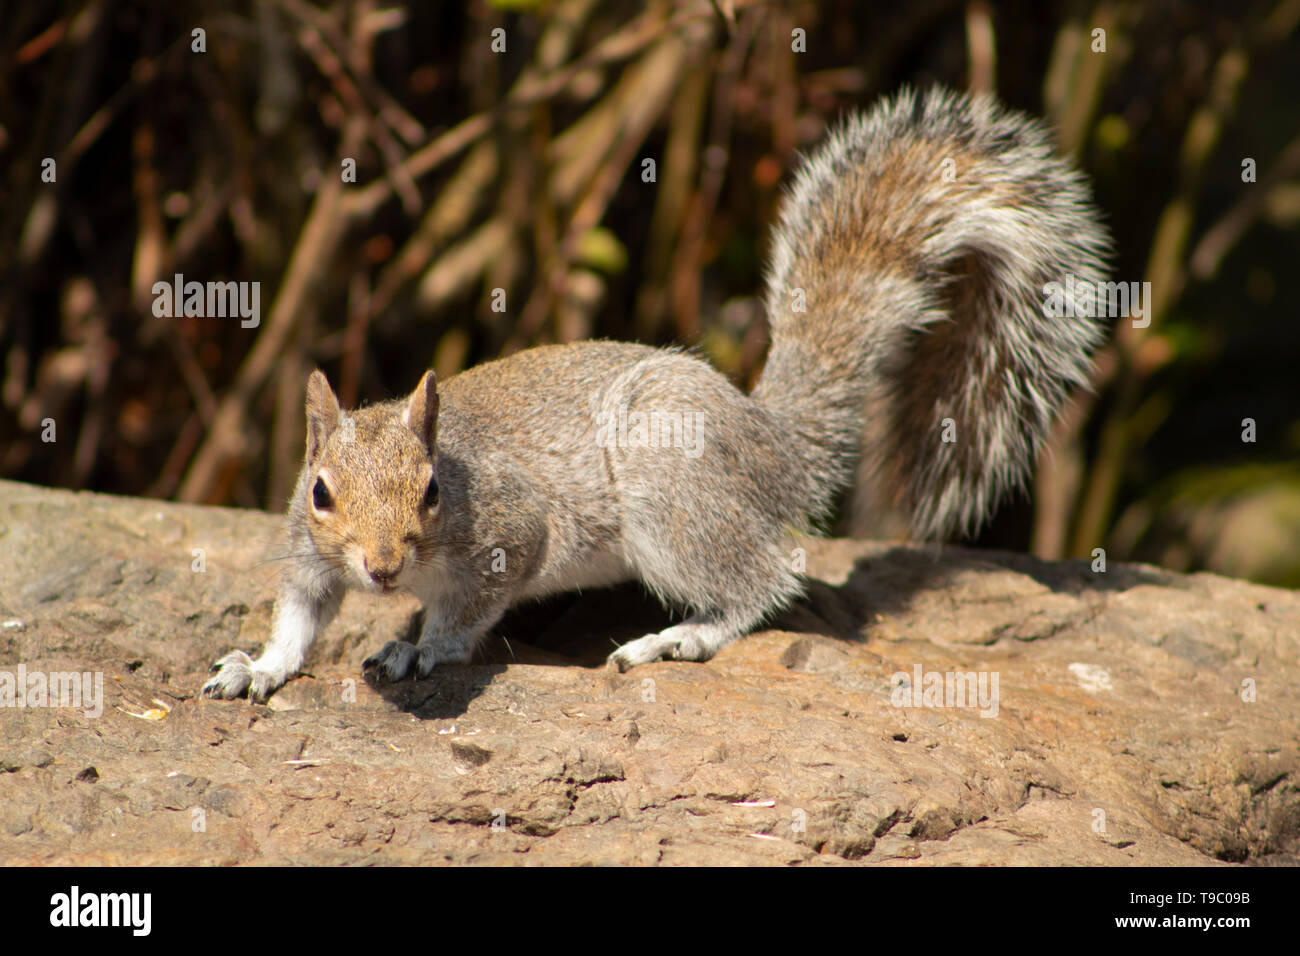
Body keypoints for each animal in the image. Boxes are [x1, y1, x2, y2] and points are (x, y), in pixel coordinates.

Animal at [203, 87, 1109, 702]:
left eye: (430, 492)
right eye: (321, 492)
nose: (385, 568)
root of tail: (774, 444)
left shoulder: (512, 534)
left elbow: (474, 606)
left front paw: (429, 646)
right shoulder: (307, 552)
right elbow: (301, 612)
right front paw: (261, 665)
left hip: (669, 489)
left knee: (766, 580)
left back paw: (676, 638)